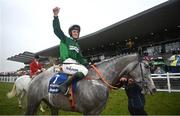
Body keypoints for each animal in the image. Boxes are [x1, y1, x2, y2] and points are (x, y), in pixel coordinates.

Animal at [25, 53, 156, 115]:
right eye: (146, 66)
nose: (154, 89)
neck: (97, 80)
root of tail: (34, 78)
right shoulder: (89, 112)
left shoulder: (98, 112)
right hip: (32, 103)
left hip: (53, 106)